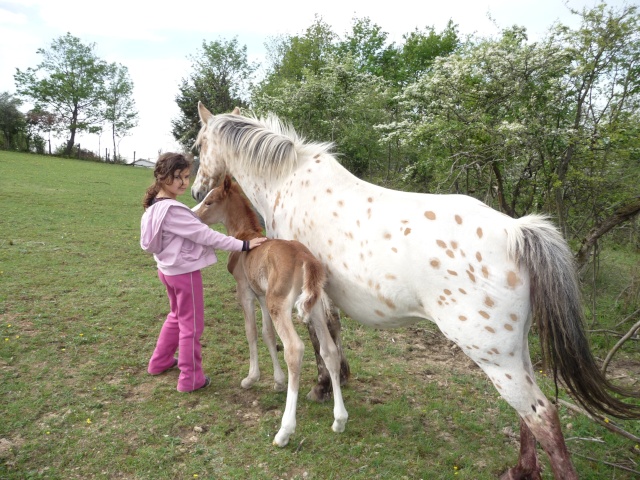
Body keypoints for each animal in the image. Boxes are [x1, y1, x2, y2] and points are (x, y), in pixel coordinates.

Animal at [191, 103, 640, 478]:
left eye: (198, 144)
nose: (194, 190)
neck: (289, 180)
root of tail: (518, 231)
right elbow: (332, 337)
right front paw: (334, 385)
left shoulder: (307, 298)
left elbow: (320, 343)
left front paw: (321, 392)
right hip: (514, 352)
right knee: (529, 413)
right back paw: (520, 470)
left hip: (493, 356)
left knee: (541, 414)